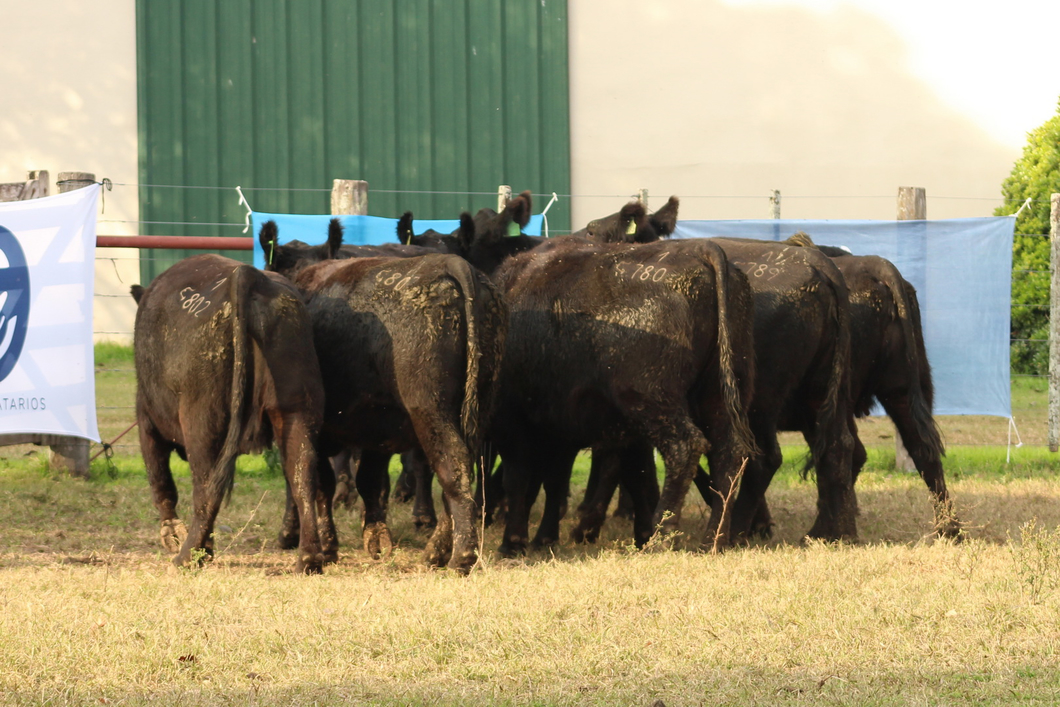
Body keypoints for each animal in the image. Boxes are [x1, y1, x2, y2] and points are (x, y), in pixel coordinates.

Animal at [131, 254, 332, 576]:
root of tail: (249, 276)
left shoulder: (147, 420)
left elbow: (161, 480)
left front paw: (173, 536)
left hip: (202, 422)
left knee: (206, 488)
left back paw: (189, 554)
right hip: (296, 411)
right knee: (303, 477)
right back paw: (309, 559)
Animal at [262, 222, 506, 576]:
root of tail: (452, 264)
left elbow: (318, 482)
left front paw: (326, 546)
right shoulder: (376, 425)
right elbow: (370, 480)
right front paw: (375, 539)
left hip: (431, 409)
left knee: (454, 467)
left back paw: (459, 557)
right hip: (478, 406)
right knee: (464, 472)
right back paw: (437, 551)